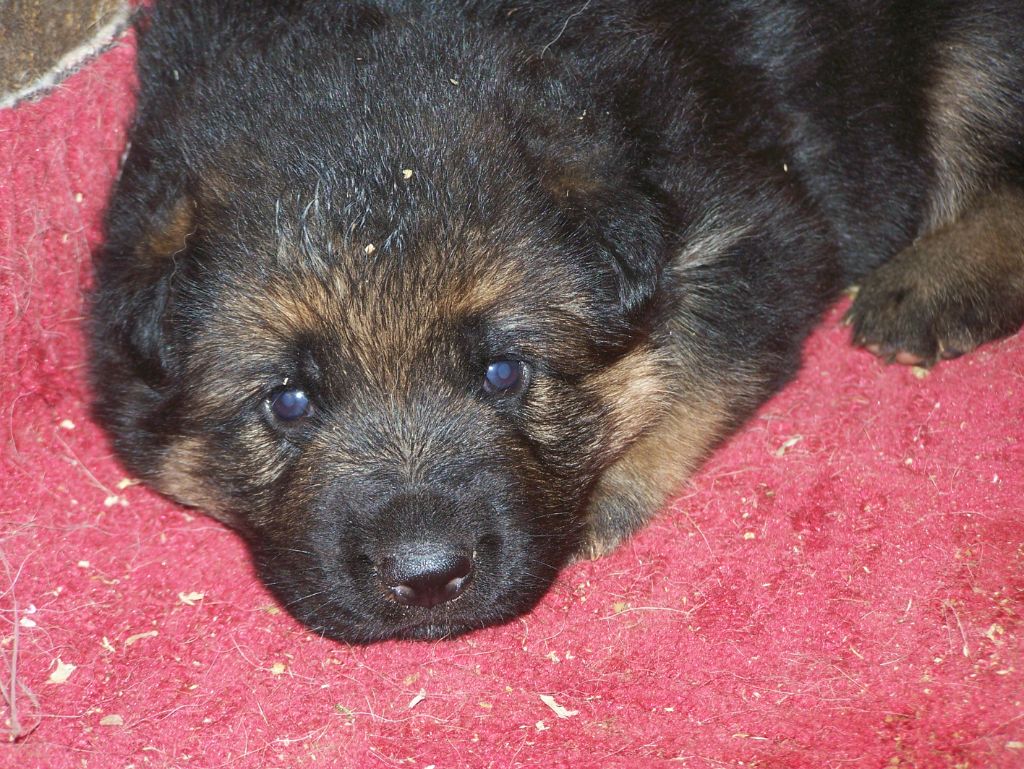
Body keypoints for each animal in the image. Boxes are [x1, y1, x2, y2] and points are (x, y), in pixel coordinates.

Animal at [90, 1, 1024, 643]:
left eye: (504, 372)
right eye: (288, 402)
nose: (427, 578)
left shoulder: (760, 228)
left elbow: (699, 364)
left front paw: (604, 491)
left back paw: (937, 279)